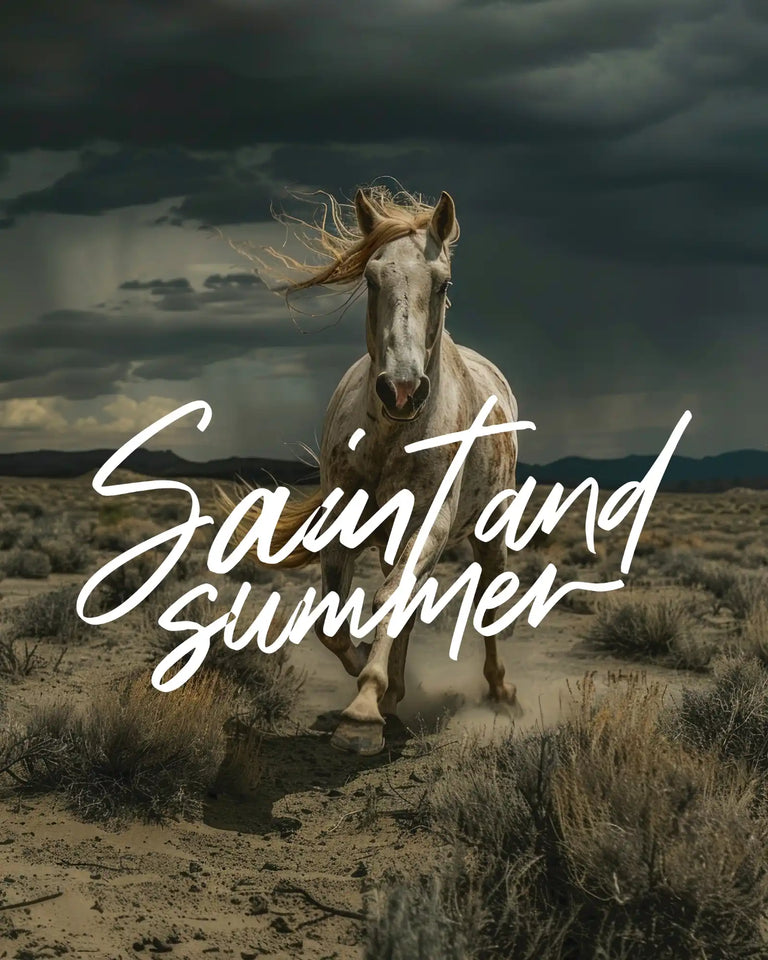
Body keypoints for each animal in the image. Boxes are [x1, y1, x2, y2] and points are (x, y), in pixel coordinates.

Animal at [231, 186, 520, 756]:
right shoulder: (340, 525)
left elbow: (391, 601)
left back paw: (498, 692)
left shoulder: (428, 524)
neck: (390, 436)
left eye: (443, 281)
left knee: (485, 605)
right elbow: (333, 621)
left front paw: (364, 711)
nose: (401, 390)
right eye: (370, 277)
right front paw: (373, 682)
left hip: (487, 533)